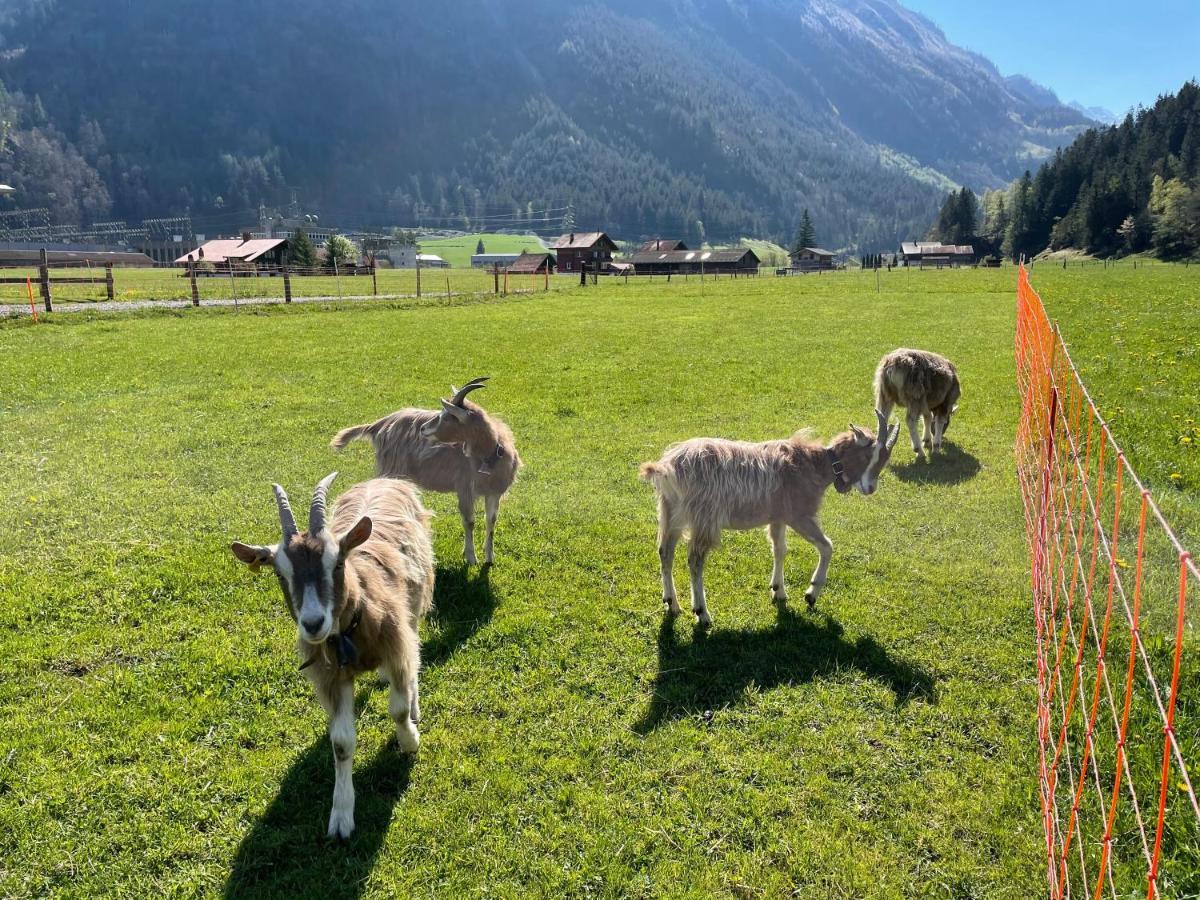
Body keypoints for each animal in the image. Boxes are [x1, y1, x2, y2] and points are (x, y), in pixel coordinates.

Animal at [226, 475, 434, 844]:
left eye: (337, 564)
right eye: (280, 573)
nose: (313, 623)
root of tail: (384, 479)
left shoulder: (395, 644)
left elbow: (397, 704)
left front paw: (409, 740)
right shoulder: (333, 676)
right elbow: (341, 742)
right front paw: (341, 816)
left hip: (416, 601)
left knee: (414, 655)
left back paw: (414, 704)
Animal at [331, 379, 518, 564]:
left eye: (447, 417)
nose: (423, 428)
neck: (489, 457)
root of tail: (378, 425)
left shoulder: (494, 492)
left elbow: (491, 521)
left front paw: (489, 557)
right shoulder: (464, 489)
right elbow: (469, 522)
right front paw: (471, 558)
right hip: (391, 470)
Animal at [643, 410, 897, 628]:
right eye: (869, 455)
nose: (870, 488)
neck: (815, 464)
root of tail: (667, 466)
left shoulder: (778, 518)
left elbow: (780, 549)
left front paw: (779, 591)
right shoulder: (799, 515)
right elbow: (827, 546)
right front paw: (811, 594)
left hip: (670, 513)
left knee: (665, 552)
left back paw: (672, 604)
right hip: (703, 518)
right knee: (695, 560)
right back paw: (702, 613)